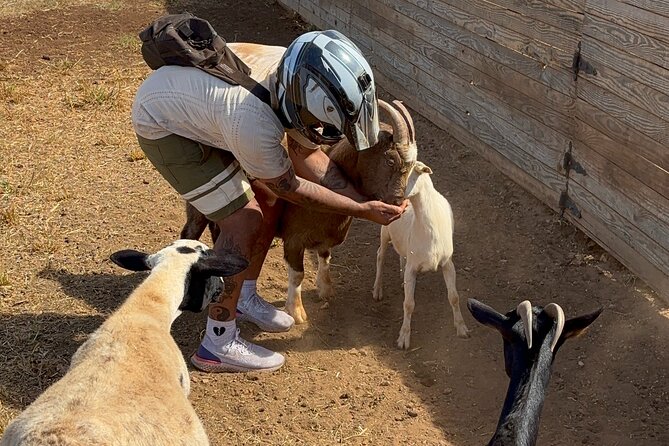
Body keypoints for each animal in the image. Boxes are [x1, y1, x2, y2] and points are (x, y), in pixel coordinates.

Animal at [372, 104, 469, 349]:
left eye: (406, 170)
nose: (386, 198)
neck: (429, 229)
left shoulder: (447, 263)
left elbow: (454, 296)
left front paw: (462, 328)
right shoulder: (414, 267)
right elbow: (409, 304)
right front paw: (403, 338)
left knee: (400, 256)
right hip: (384, 232)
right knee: (380, 255)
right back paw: (377, 290)